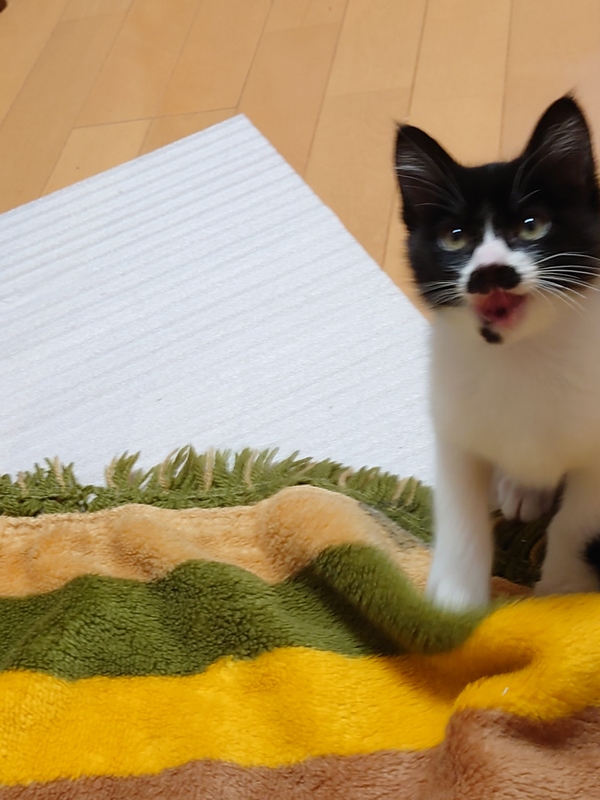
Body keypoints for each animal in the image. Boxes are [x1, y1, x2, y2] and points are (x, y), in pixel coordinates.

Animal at [394, 95, 600, 610]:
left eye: (532, 226)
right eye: (454, 237)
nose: (489, 271)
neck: (522, 357)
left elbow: (576, 521)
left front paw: (564, 591)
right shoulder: (453, 426)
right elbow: (459, 512)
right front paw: (454, 602)